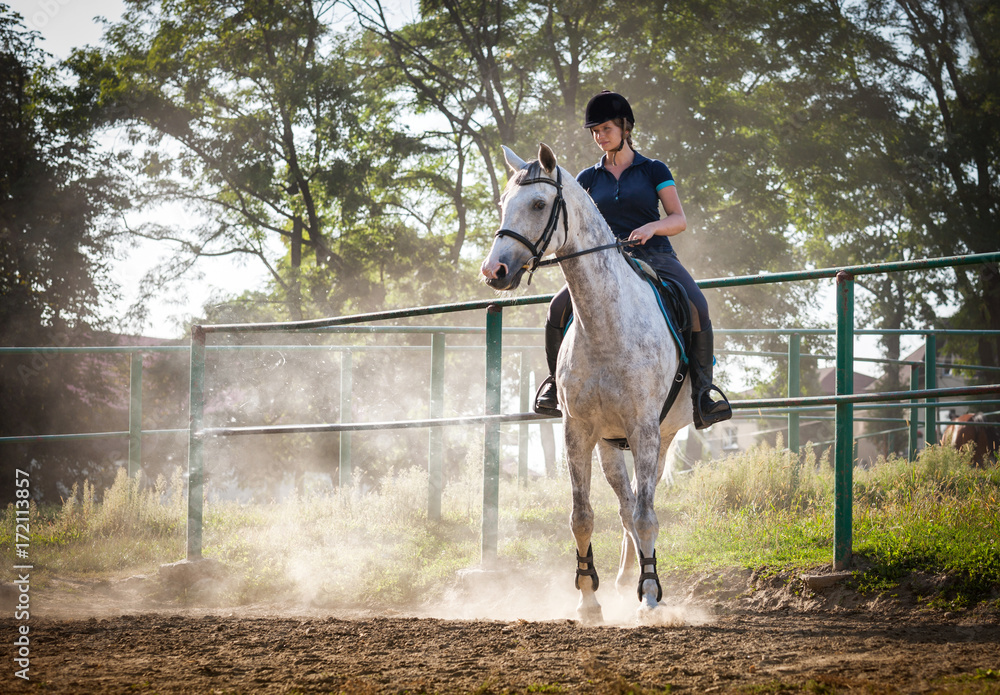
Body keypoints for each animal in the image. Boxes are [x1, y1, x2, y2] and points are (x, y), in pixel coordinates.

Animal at [480, 143, 692, 624]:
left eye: (539, 204)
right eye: (503, 204)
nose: (494, 270)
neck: (606, 325)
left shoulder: (645, 429)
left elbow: (648, 516)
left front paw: (650, 597)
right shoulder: (576, 431)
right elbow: (582, 516)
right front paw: (588, 599)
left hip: (662, 437)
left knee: (642, 506)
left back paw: (642, 582)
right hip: (609, 444)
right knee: (626, 506)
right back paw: (623, 579)